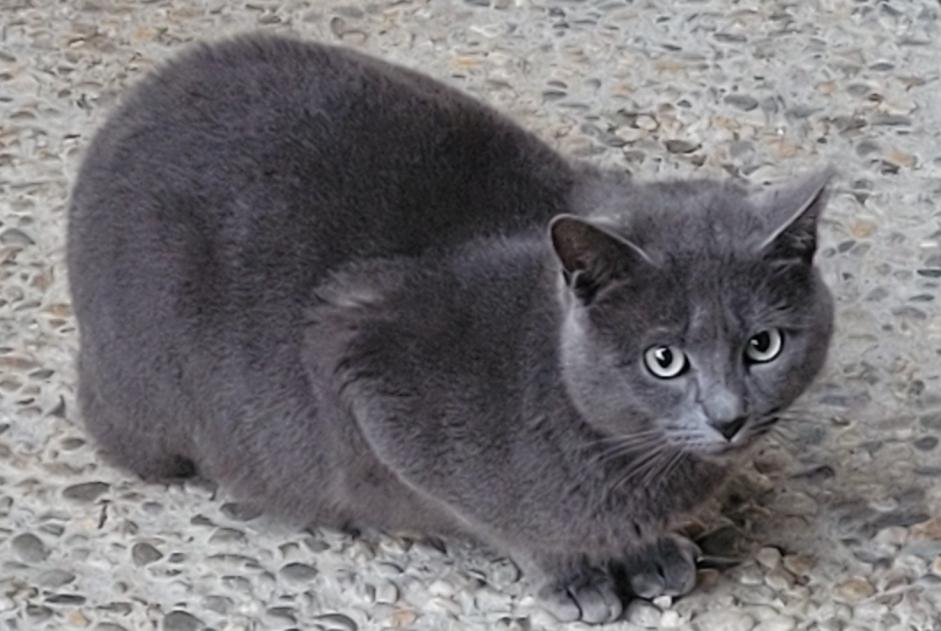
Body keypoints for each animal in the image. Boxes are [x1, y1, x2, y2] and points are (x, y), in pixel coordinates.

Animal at [70, 32, 836, 620]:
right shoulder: (360, 356)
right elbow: (503, 519)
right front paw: (579, 573)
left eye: (763, 345)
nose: (728, 417)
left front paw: (647, 551)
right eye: (664, 359)